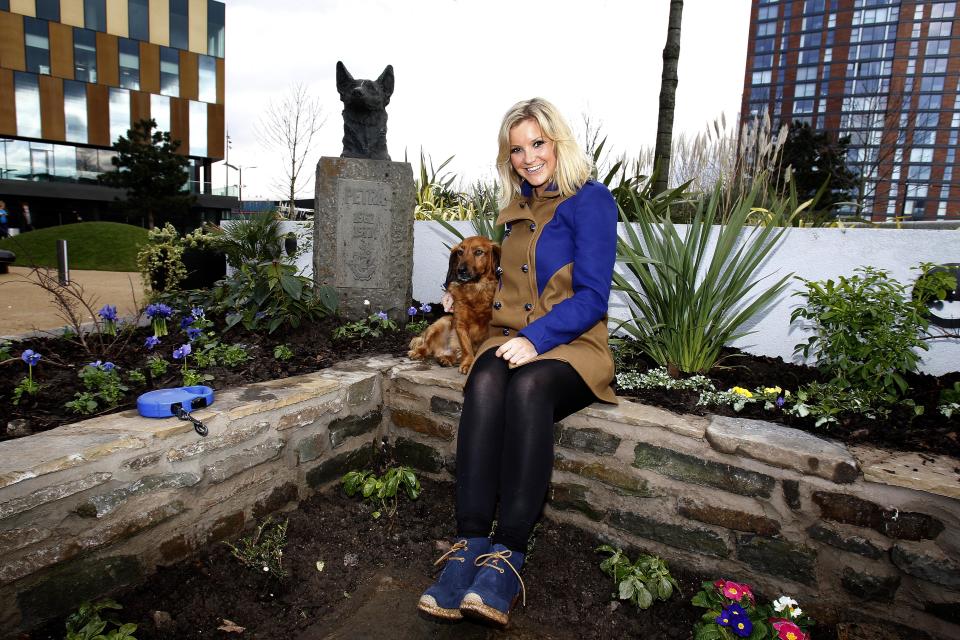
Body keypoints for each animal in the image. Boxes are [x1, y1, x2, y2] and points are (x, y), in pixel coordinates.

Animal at [406, 238, 502, 372]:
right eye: (460, 252)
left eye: (478, 252)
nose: (460, 270)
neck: (475, 289)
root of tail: (442, 350)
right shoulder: (460, 324)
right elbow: (467, 347)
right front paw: (468, 363)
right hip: (443, 322)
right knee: (426, 346)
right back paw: (418, 352)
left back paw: (445, 359)